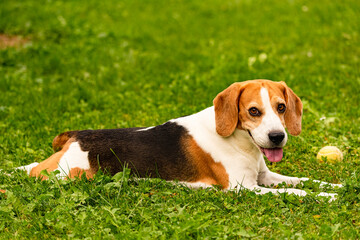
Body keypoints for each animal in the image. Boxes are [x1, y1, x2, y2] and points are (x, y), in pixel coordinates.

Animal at [13, 79, 340, 198]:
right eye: (254, 111)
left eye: (281, 107)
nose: (277, 137)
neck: (242, 143)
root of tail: (78, 134)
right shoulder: (243, 189)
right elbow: (298, 192)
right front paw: (327, 197)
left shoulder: (264, 177)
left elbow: (304, 181)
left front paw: (337, 186)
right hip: (69, 175)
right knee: (34, 172)